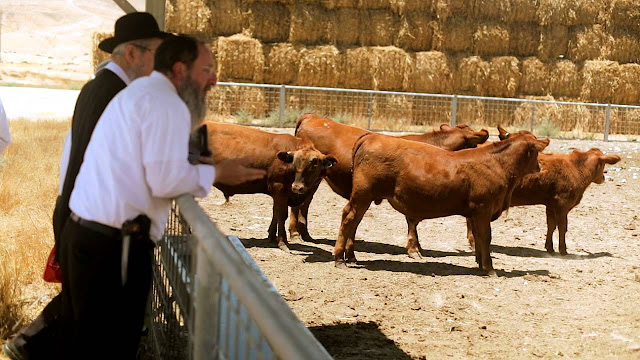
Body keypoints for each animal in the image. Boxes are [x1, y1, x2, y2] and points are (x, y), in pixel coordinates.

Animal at [205, 121, 338, 250]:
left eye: (314, 165)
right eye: (294, 162)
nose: (296, 187)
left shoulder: (279, 193)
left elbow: (275, 213)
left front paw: (272, 237)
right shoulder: (279, 188)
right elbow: (281, 215)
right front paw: (282, 242)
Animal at [290, 113, 490, 242]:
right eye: (473, 143)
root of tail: (310, 117)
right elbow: (412, 220)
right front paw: (415, 249)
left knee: (304, 204)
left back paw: (304, 234)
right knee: (299, 204)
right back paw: (295, 234)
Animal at [336, 129, 552, 276]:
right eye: (536, 153)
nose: (540, 167)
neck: (497, 164)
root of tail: (371, 136)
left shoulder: (475, 213)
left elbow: (478, 237)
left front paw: (480, 264)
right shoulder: (483, 208)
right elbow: (485, 237)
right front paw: (490, 269)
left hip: (363, 197)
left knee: (354, 221)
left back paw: (351, 256)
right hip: (363, 195)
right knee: (349, 218)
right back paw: (339, 257)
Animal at [464, 129, 620, 253]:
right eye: (603, 164)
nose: (603, 178)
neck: (576, 168)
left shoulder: (551, 205)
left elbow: (551, 226)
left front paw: (549, 247)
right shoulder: (562, 204)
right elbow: (562, 227)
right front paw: (563, 250)